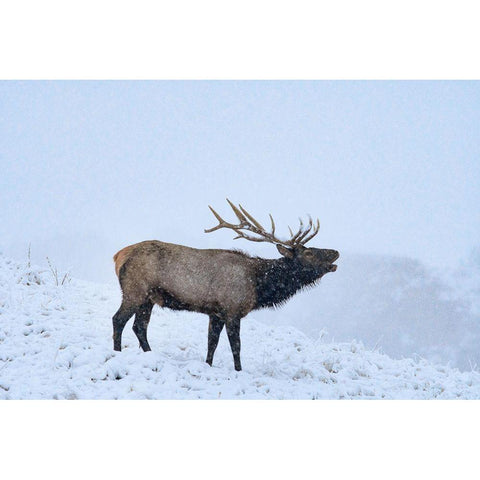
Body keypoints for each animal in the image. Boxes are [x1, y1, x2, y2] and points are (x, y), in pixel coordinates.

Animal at [112, 199, 340, 372]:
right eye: (308, 252)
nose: (335, 252)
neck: (258, 285)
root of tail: (118, 256)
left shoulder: (216, 313)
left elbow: (211, 343)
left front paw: (208, 365)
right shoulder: (232, 310)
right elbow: (236, 346)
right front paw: (239, 370)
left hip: (148, 298)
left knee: (139, 326)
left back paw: (150, 354)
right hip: (134, 290)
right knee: (119, 319)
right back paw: (117, 352)